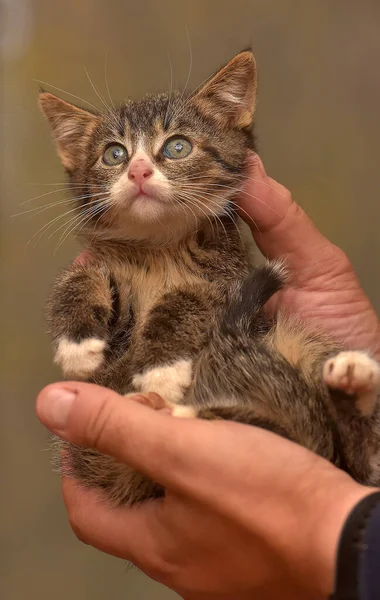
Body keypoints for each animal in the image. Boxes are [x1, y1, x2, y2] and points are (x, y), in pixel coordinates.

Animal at [39, 50, 380, 506]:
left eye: (177, 147)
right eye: (114, 154)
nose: (139, 172)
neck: (161, 250)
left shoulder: (228, 276)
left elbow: (191, 300)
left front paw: (161, 367)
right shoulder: (109, 275)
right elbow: (77, 279)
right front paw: (77, 342)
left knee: (349, 454)